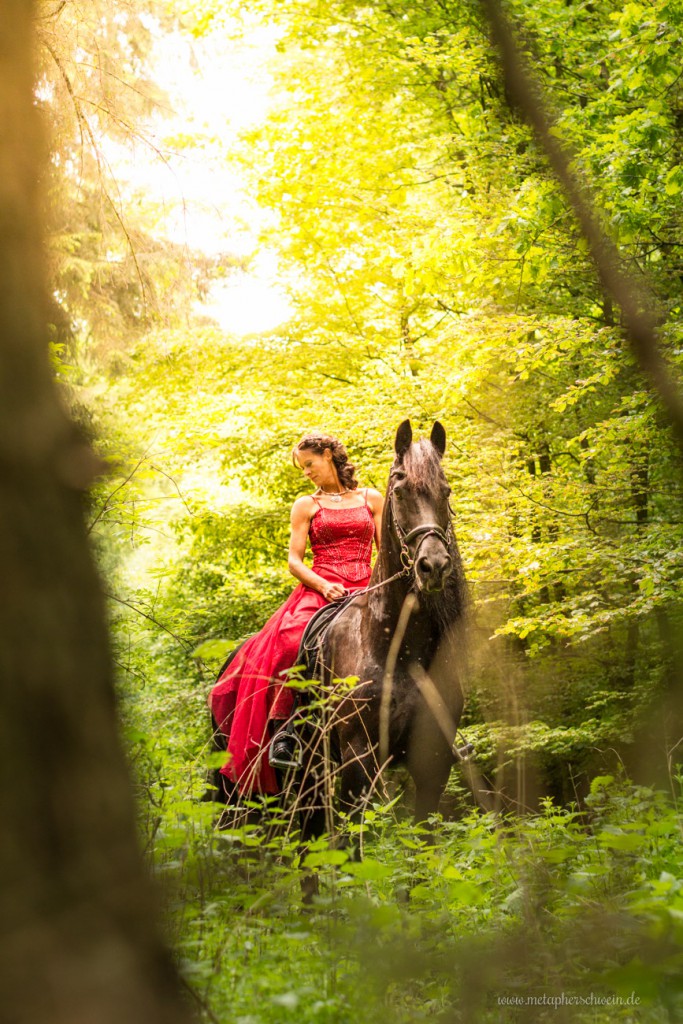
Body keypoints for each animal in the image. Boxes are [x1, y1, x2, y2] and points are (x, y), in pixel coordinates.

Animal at [294, 419, 471, 843]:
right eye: (401, 489)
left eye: (446, 491)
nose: (434, 566)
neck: (398, 649)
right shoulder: (357, 760)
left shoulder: (433, 762)